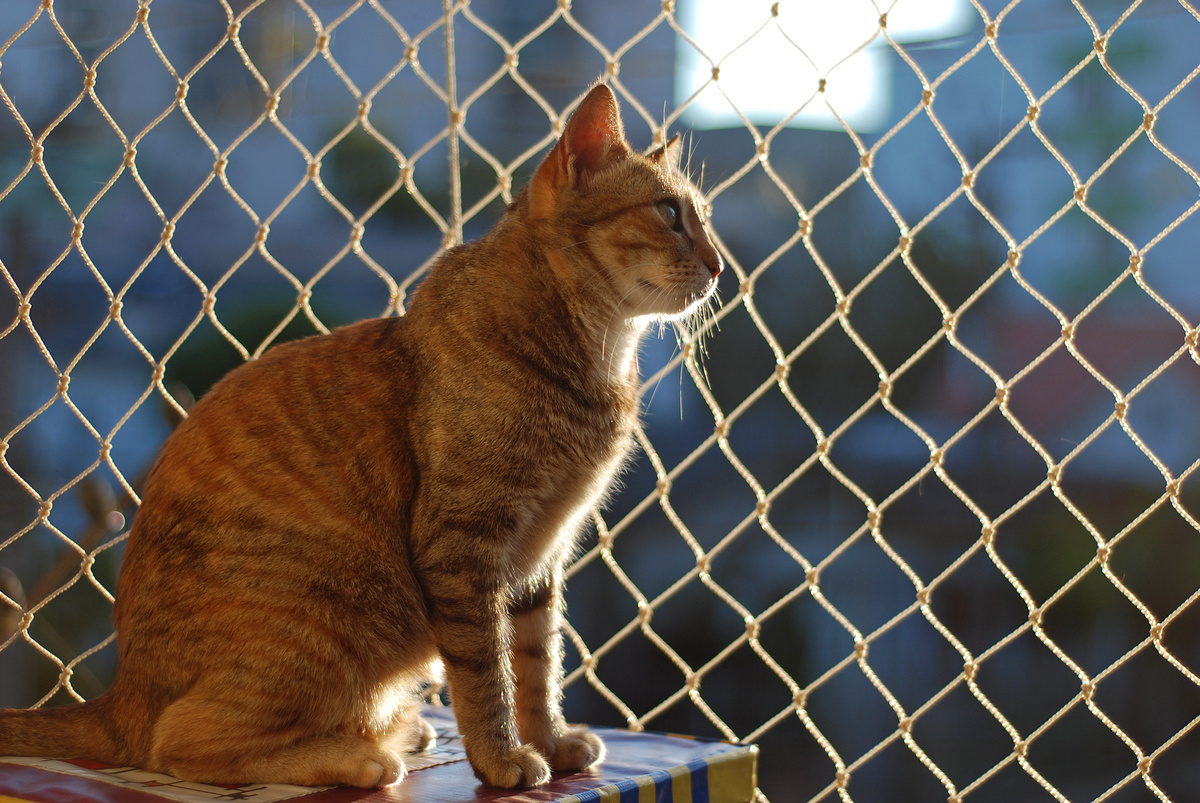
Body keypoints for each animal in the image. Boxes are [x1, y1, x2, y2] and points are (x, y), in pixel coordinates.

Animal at [0, 82, 720, 787]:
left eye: (702, 217)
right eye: (670, 213)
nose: (719, 267)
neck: (595, 358)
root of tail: (121, 695)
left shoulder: (542, 557)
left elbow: (537, 666)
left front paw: (547, 740)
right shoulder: (466, 546)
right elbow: (486, 673)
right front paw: (503, 759)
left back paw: (401, 730)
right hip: (334, 617)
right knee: (180, 744)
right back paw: (360, 755)